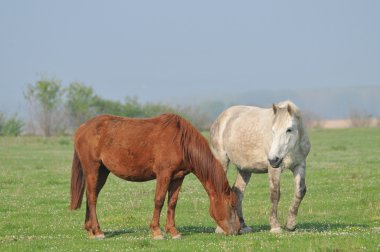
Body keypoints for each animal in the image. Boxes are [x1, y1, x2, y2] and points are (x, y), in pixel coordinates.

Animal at [70, 113, 239, 239]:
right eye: (231, 205)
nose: (237, 230)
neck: (180, 141)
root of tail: (82, 128)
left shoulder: (178, 177)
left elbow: (172, 203)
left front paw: (173, 231)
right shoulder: (164, 174)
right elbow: (159, 200)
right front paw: (156, 232)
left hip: (102, 171)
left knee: (90, 195)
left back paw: (90, 230)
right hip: (92, 168)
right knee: (92, 197)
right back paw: (97, 231)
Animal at [211, 101, 312, 234]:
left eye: (289, 129)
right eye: (273, 130)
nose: (273, 159)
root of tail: (221, 117)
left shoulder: (299, 165)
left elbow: (300, 191)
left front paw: (290, 224)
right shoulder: (274, 169)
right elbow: (275, 194)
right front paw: (275, 227)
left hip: (245, 170)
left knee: (238, 193)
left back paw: (243, 226)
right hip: (222, 160)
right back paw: (221, 228)